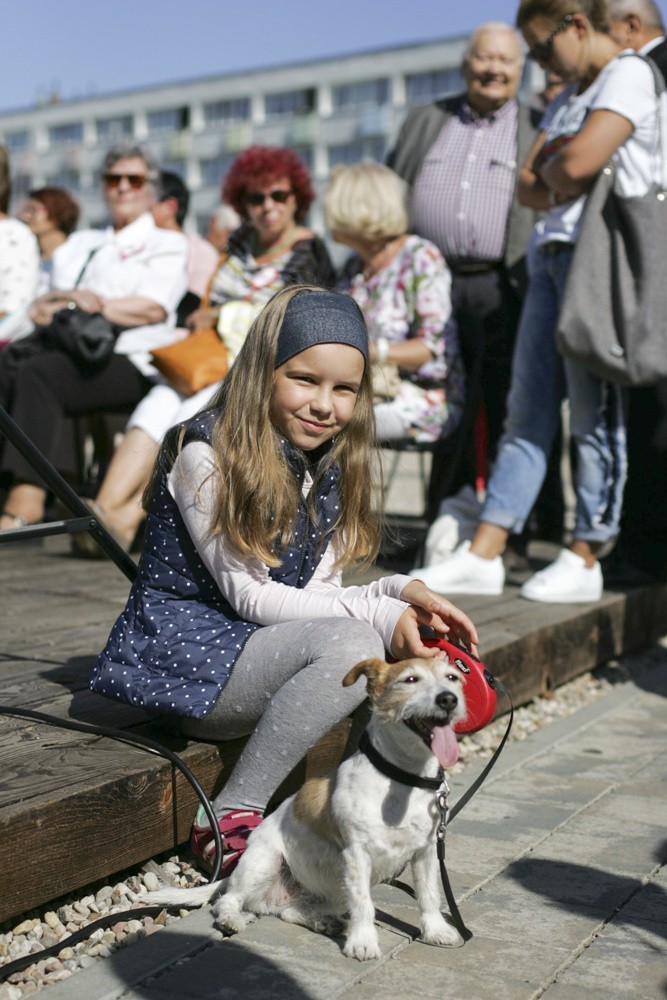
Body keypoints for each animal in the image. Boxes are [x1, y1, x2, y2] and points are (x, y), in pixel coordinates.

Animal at [145, 656, 470, 960]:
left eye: (452, 678)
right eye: (410, 679)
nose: (448, 699)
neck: (402, 779)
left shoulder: (426, 852)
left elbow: (428, 895)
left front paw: (436, 930)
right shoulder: (357, 857)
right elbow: (364, 904)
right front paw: (363, 942)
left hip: (333, 889)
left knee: (288, 910)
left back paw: (323, 922)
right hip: (265, 863)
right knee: (228, 900)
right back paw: (232, 920)